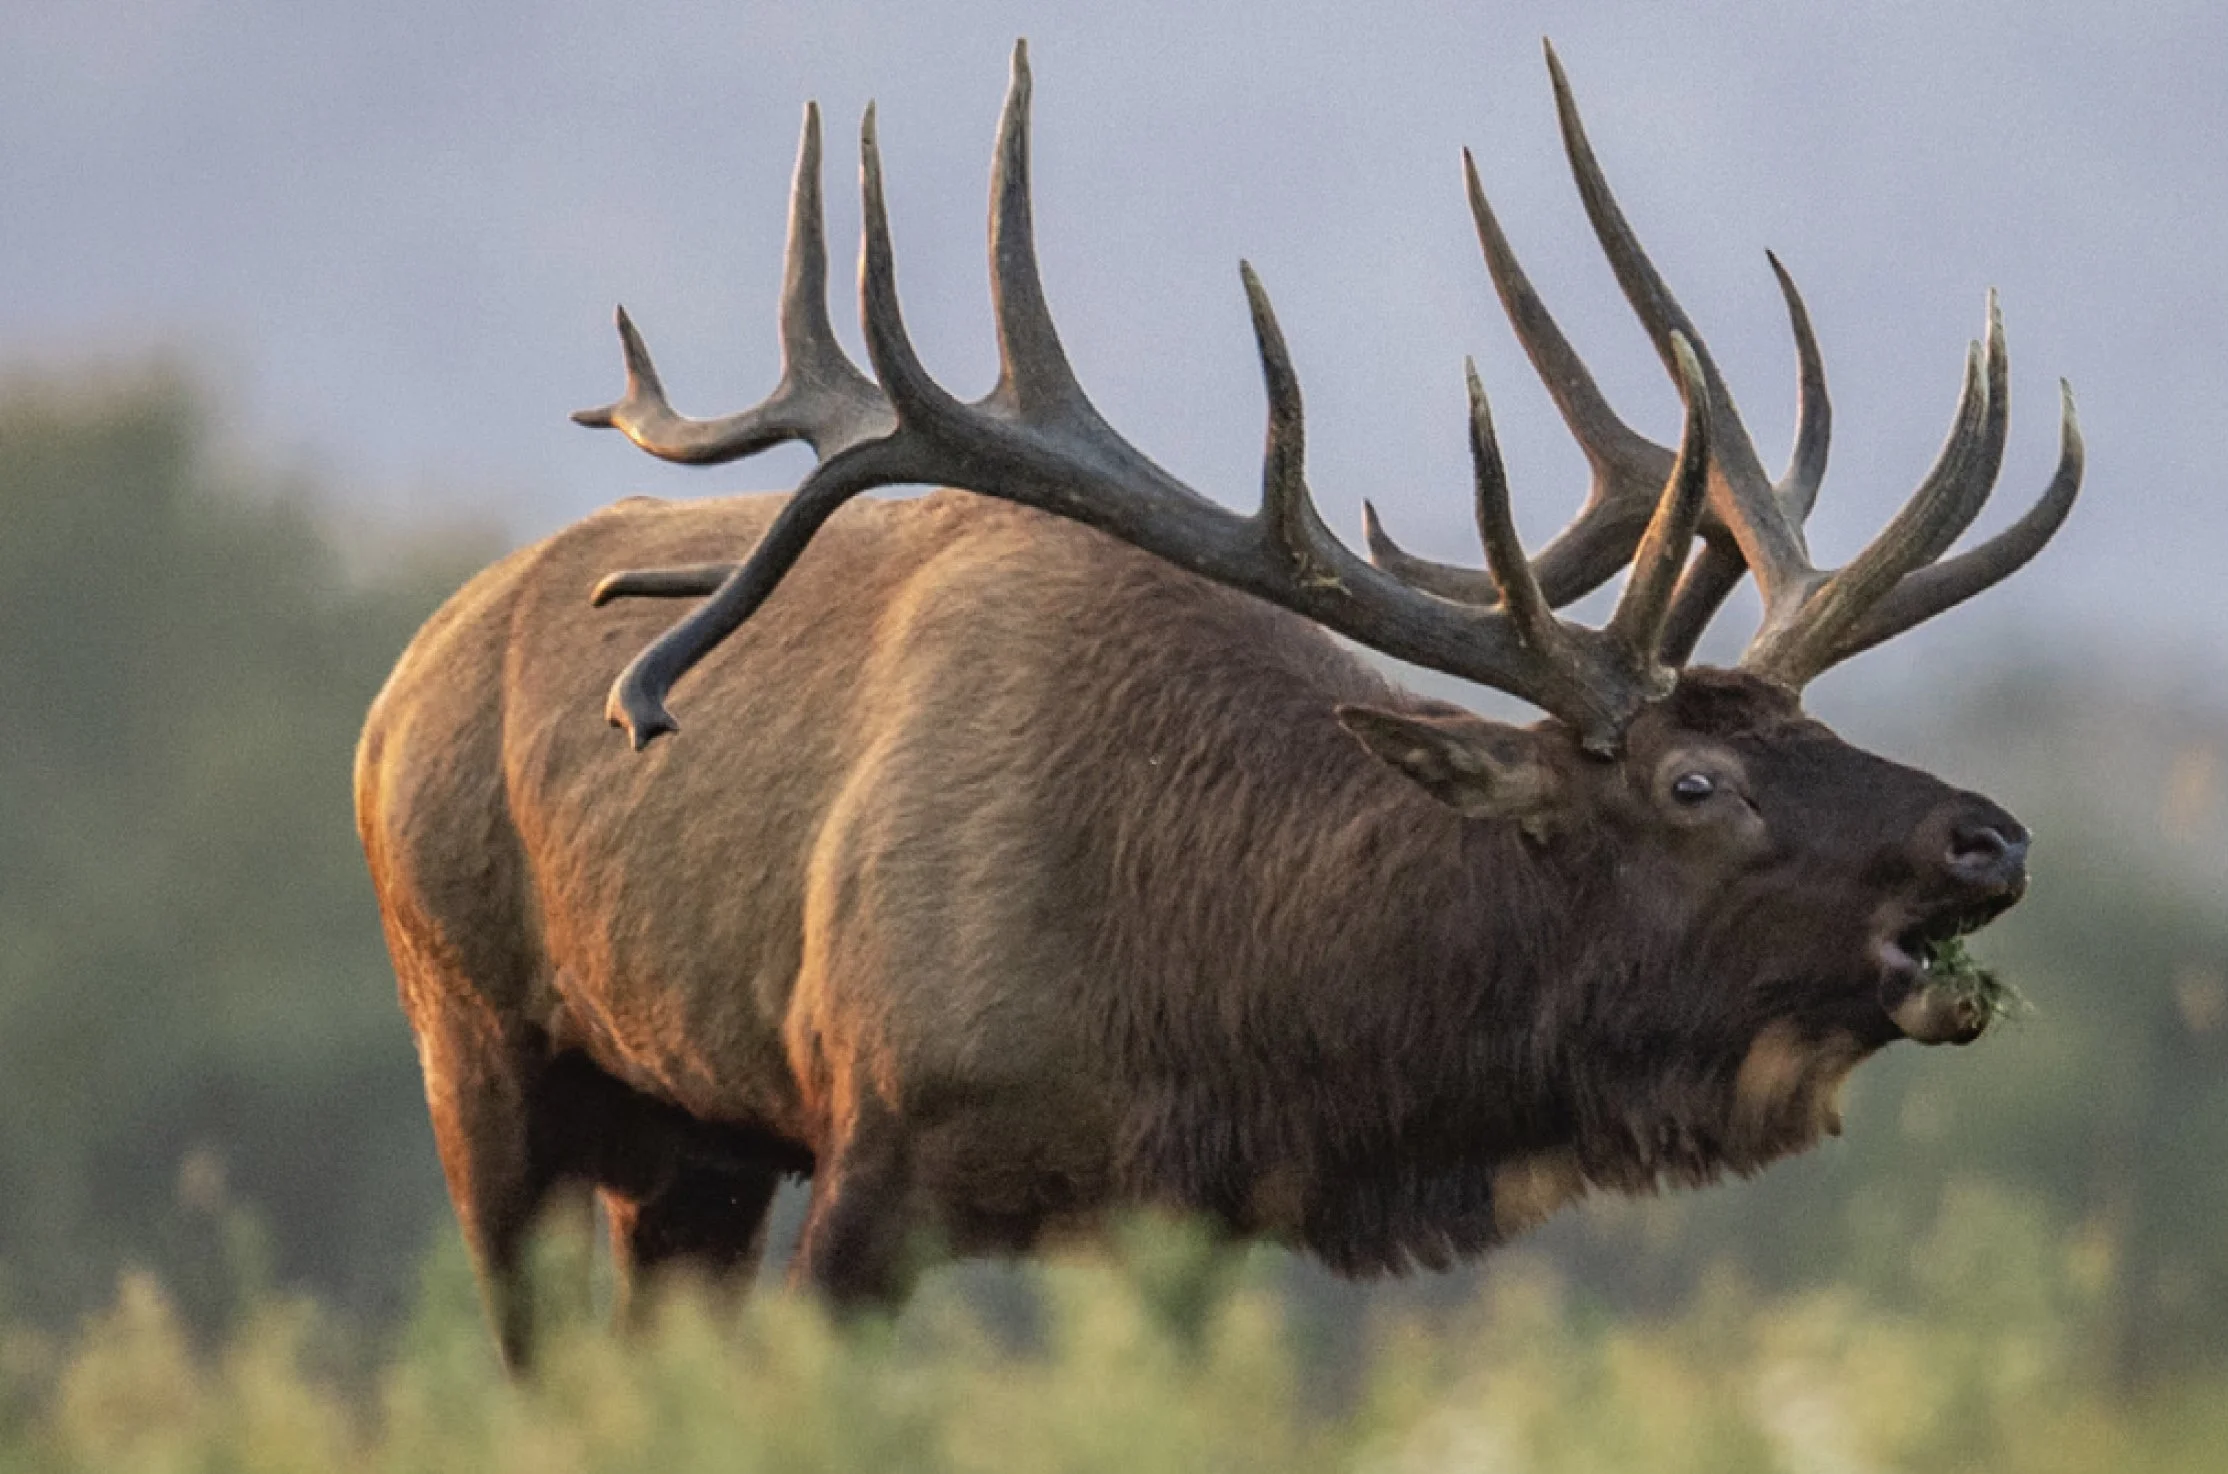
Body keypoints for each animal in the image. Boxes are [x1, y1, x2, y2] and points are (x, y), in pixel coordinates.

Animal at [355, 42, 2080, 1370]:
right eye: (1694, 782)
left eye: (1814, 729)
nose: (1988, 839)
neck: (1206, 977)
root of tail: (403, 681)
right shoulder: (874, 1140)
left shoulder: (1185, 1223)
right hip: (473, 1041)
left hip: (691, 1133)